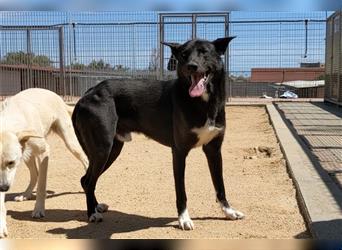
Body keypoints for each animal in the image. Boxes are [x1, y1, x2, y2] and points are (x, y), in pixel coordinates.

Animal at [0, 88, 88, 238]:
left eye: (11, 162)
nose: (4, 188)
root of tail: (57, 96)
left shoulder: (44, 152)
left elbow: (42, 185)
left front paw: (39, 209)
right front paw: (1, 227)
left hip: (70, 142)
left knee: (86, 160)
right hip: (27, 155)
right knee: (34, 174)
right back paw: (26, 194)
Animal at [71, 36, 243, 229]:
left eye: (204, 52)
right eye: (184, 55)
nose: (191, 66)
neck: (204, 102)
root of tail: (87, 94)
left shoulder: (214, 150)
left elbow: (220, 185)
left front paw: (229, 211)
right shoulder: (179, 152)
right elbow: (181, 191)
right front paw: (184, 219)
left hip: (112, 150)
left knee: (87, 180)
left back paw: (96, 206)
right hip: (103, 149)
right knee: (88, 180)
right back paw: (92, 213)